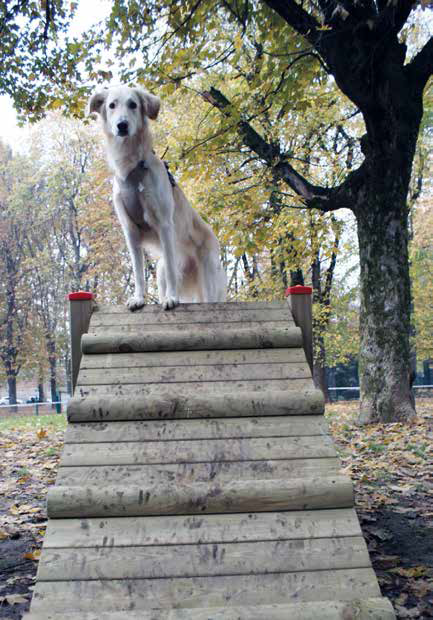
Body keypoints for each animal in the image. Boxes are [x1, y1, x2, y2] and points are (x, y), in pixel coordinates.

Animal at [86, 83, 224, 310]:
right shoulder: (130, 231)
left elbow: (171, 267)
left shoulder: (164, 225)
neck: (132, 170)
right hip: (160, 273)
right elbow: (138, 271)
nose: (122, 125)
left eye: (133, 104)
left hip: (208, 279)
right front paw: (138, 298)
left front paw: (172, 298)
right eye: (112, 105)